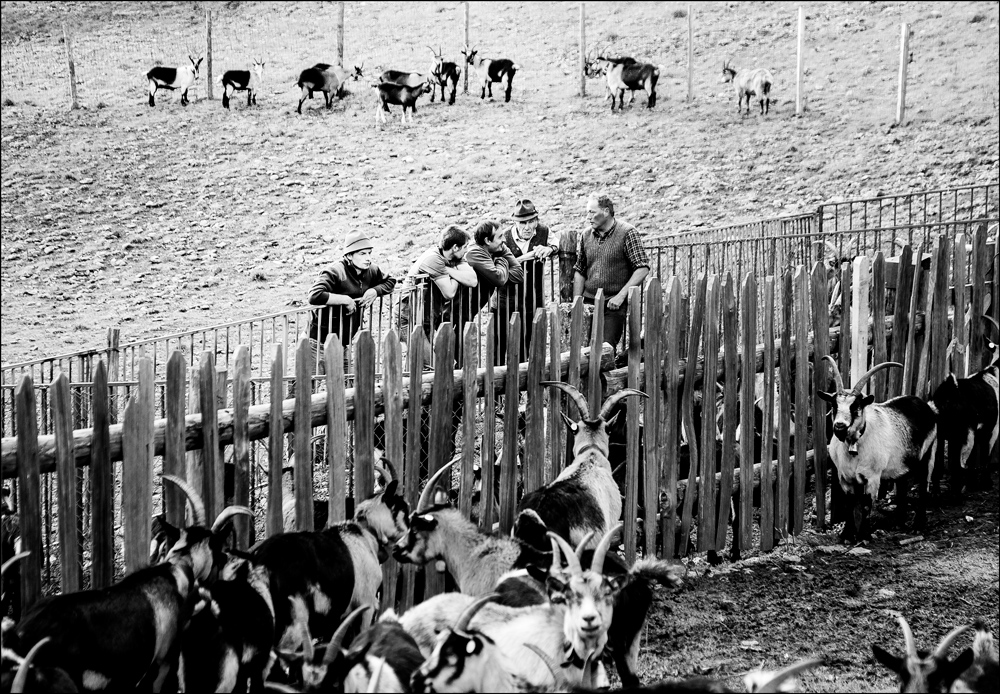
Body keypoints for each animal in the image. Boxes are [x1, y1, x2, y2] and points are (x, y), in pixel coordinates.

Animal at [820, 358, 936, 544]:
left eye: (856, 407)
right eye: (834, 405)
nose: (839, 427)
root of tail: (925, 405)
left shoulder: (872, 477)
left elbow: (866, 505)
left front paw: (863, 536)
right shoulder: (844, 477)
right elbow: (849, 504)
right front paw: (846, 535)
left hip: (928, 452)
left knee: (924, 483)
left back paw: (918, 525)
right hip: (901, 462)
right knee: (902, 485)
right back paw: (898, 523)